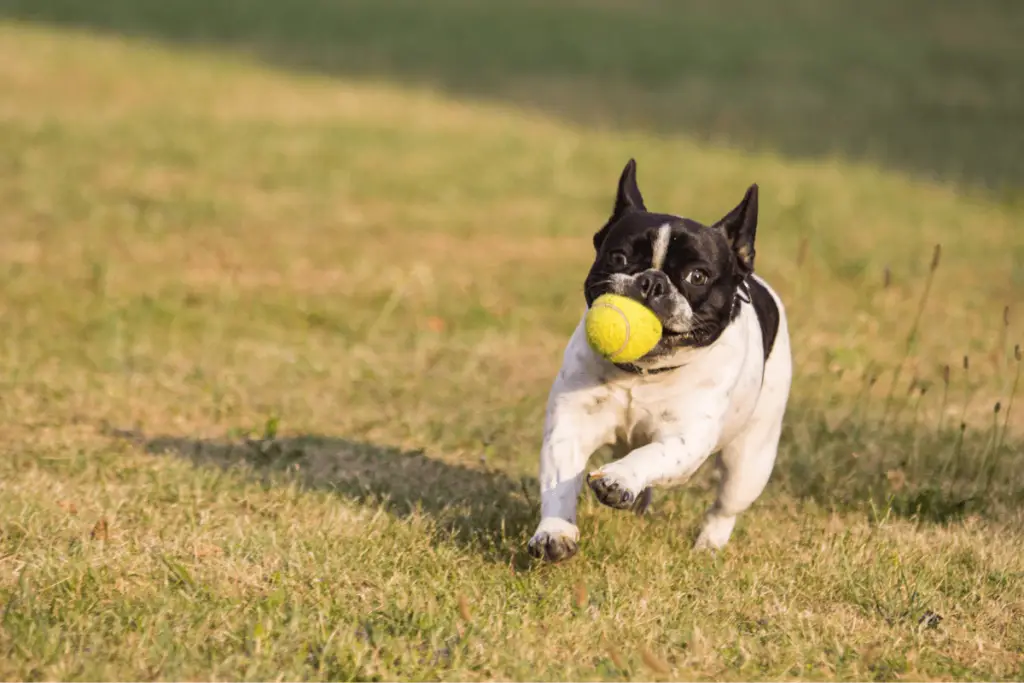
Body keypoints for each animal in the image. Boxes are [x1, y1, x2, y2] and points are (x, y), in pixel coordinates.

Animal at [528, 158, 790, 561]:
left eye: (697, 276)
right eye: (618, 257)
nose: (651, 281)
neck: (644, 373)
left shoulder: (686, 436)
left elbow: (655, 455)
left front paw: (620, 478)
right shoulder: (571, 424)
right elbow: (559, 481)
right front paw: (555, 531)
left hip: (750, 459)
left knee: (724, 506)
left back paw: (708, 546)